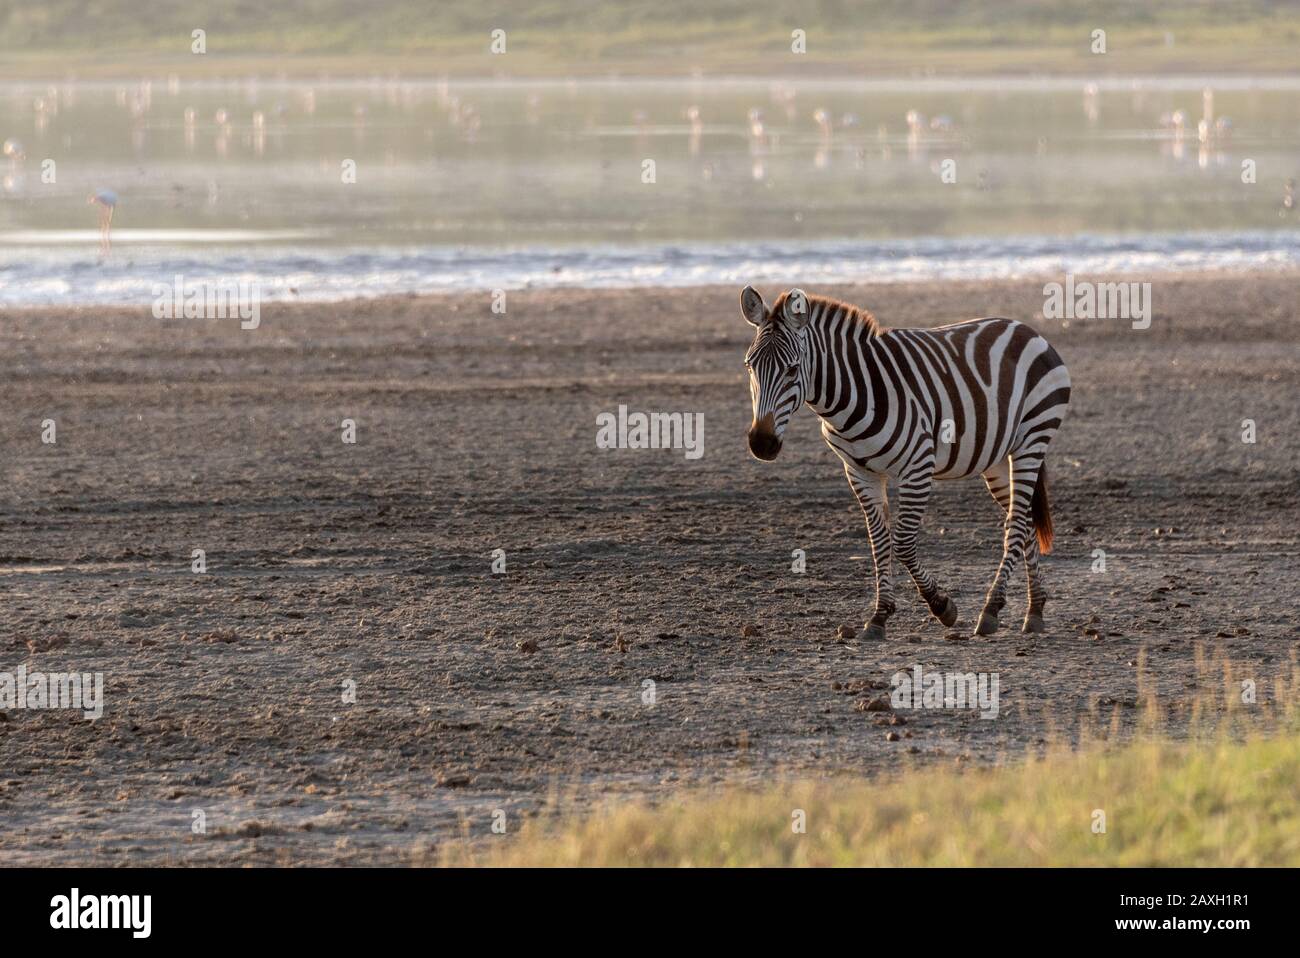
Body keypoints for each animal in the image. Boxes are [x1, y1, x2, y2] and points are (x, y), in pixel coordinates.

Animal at [743, 287, 1076, 639]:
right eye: (750, 366)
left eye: (792, 369)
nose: (761, 443)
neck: (854, 395)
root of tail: (1027, 329)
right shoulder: (859, 472)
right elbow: (879, 541)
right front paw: (879, 616)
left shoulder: (918, 466)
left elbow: (901, 543)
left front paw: (942, 606)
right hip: (998, 459)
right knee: (1023, 519)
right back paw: (1035, 610)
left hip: (1032, 438)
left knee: (1015, 524)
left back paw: (991, 609)